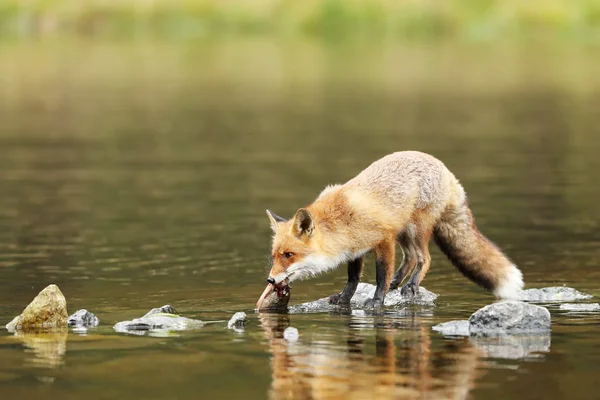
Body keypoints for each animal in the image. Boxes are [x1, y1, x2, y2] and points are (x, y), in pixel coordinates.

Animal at [255, 151, 524, 310]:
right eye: (274, 256)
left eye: (289, 255)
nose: (270, 280)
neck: (341, 221)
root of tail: (445, 169)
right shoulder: (355, 250)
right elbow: (353, 279)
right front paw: (344, 298)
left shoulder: (384, 239)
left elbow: (380, 275)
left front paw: (376, 300)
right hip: (404, 232)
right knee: (411, 257)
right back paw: (398, 282)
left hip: (416, 229)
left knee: (423, 258)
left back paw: (410, 285)